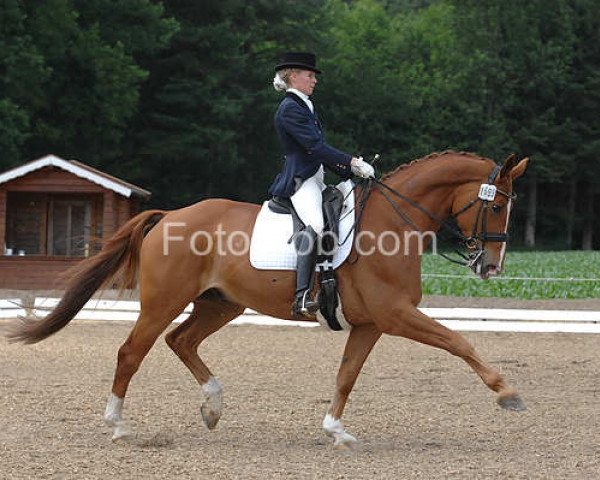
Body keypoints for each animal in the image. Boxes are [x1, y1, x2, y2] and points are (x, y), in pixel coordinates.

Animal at [7, 149, 528, 446]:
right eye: (497, 206)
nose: (491, 267)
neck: (390, 223)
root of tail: (170, 215)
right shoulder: (396, 314)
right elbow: (458, 342)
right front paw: (508, 393)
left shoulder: (370, 323)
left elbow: (346, 376)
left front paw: (336, 431)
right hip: (163, 302)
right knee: (132, 351)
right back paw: (118, 425)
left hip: (221, 303)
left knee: (181, 341)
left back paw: (213, 407)